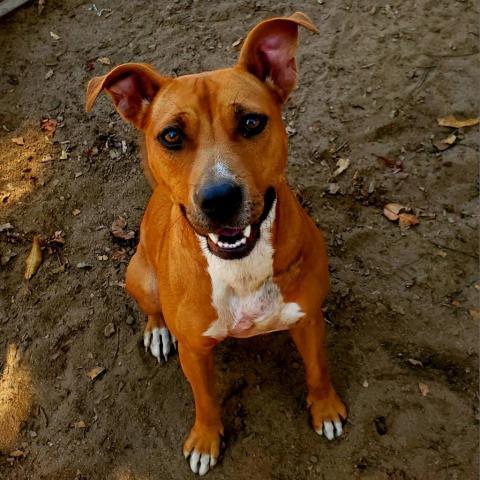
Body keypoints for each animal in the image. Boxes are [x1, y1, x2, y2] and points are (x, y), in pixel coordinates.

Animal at [86, 12, 346, 476]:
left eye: (251, 123)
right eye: (171, 136)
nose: (220, 198)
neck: (240, 267)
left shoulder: (308, 319)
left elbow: (318, 370)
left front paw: (326, 408)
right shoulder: (195, 350)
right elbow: (205, 399)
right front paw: (206, 440)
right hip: (140, 277)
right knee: (152, 309)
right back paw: (157, 331)